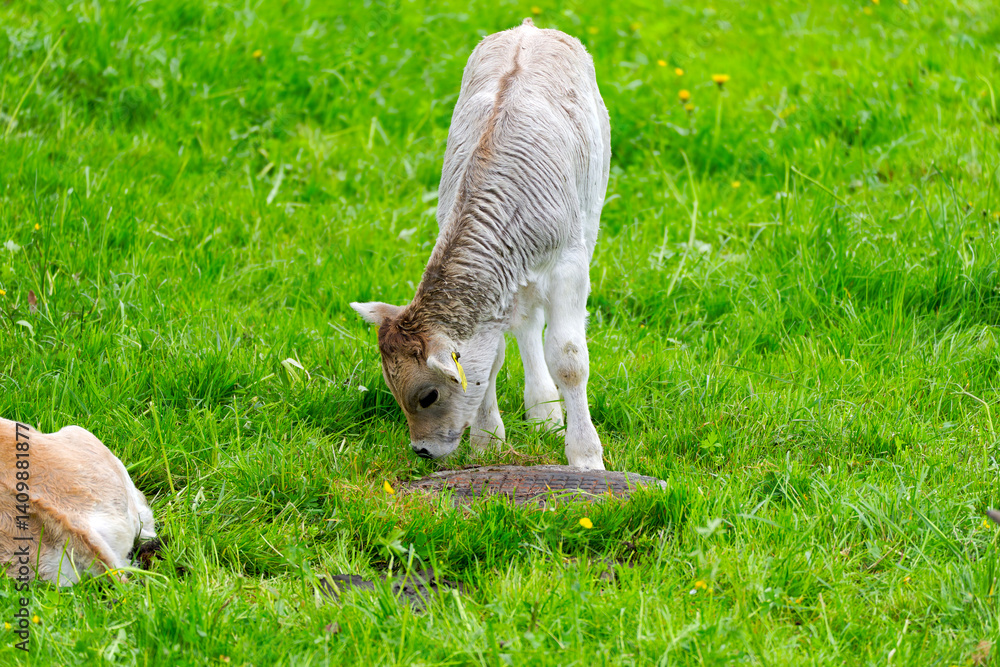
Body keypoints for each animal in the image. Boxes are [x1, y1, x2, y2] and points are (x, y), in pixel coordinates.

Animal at [351, 18, 611, 470]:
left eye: (428, 395)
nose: (422, 450)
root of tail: (529, 26)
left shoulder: (570, 265)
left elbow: (569, 358)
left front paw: (585, 457)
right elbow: (491, 359)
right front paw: (487, 443)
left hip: (591, 210)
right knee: (527, 325)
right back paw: (543, 411)